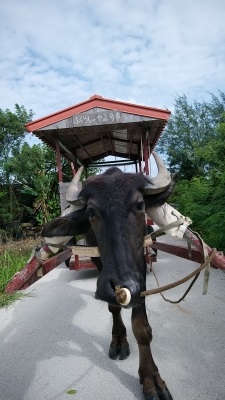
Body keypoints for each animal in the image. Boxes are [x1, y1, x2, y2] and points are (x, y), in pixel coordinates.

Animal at [41, 153, 174, 400]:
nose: (122, 284)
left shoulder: (140, 268)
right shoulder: (99, 264)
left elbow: (141, 327)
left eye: (140, 204)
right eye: (91, 211)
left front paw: (151, 379)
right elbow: (113, 308)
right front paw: (119, 340)